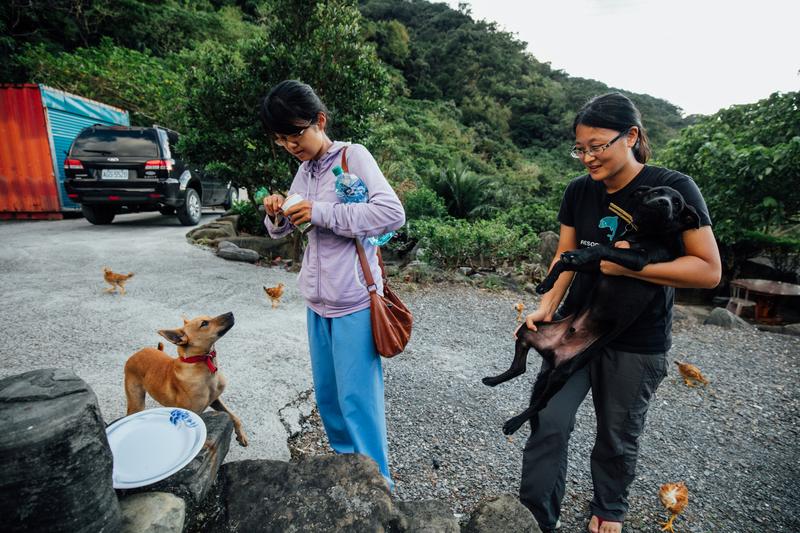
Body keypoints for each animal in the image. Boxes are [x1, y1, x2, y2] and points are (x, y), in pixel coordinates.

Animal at [122, 312, 245, 444]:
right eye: (204, 323)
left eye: (208, 317)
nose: (231, 313)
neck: (202, 364)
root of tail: (137, 353)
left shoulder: (215, 400)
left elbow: (234, 417)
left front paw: (241, 435)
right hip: (136, 403)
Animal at [482, 185, 700, 434]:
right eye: (656, 192)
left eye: (678, 203)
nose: (664, 203)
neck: (645, 233)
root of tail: (554, 351)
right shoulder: (603, 267)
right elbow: (565, 263)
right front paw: (547, 283)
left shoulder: (637, 260)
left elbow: (602, 249)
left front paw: (578, 254)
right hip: (528, 331)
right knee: (519, 368)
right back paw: (493, 380)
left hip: (563, 372)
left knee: (541, 402)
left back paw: (515, 422)